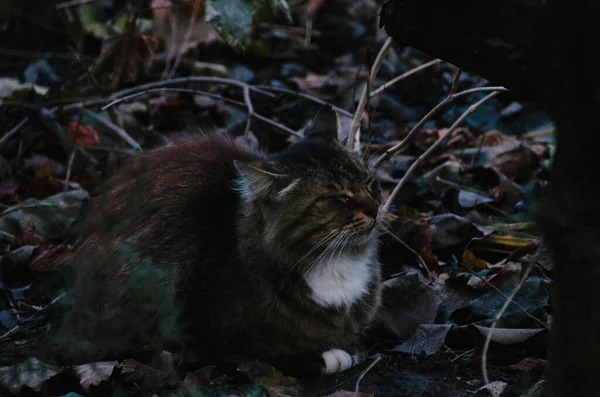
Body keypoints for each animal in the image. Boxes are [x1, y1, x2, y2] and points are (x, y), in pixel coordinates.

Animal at [59, 106, 384, 378]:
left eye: (370, 182)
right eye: (339, 197)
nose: (375, 208)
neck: (334, 262)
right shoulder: (204, 333)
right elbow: (263, 351)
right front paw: (330, 356)